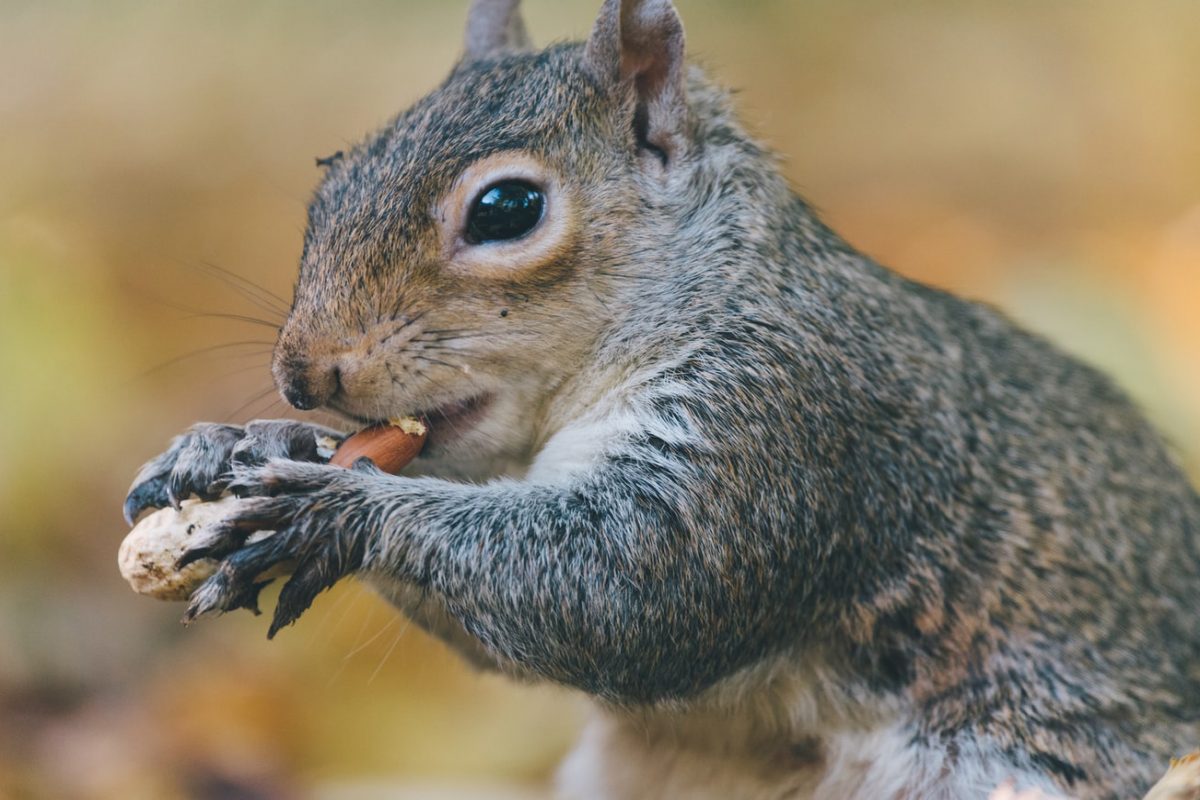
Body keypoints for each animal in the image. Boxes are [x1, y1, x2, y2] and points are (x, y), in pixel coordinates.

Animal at [124, 1, 1200, 800]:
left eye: (507, 208)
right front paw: (232, 445)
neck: (716, 289)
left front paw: (334, 509)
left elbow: (629, 589)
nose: (304, 375)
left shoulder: (786, 421)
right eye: (329, 177)